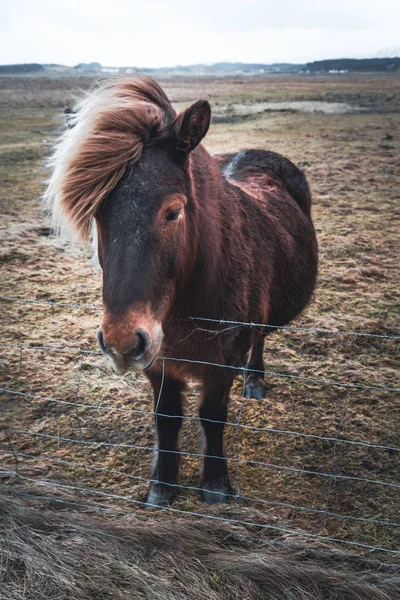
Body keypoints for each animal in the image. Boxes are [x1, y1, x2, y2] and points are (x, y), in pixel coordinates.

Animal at [45, 74, 318, 506]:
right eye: (98, 212)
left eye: (173, 212)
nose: (121, 341)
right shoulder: (157, 362)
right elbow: (167, 418)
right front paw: (162, 485)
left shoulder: (222, 362)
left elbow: (212, 416)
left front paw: (216, 485)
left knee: (260, 338)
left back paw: (254, 381)